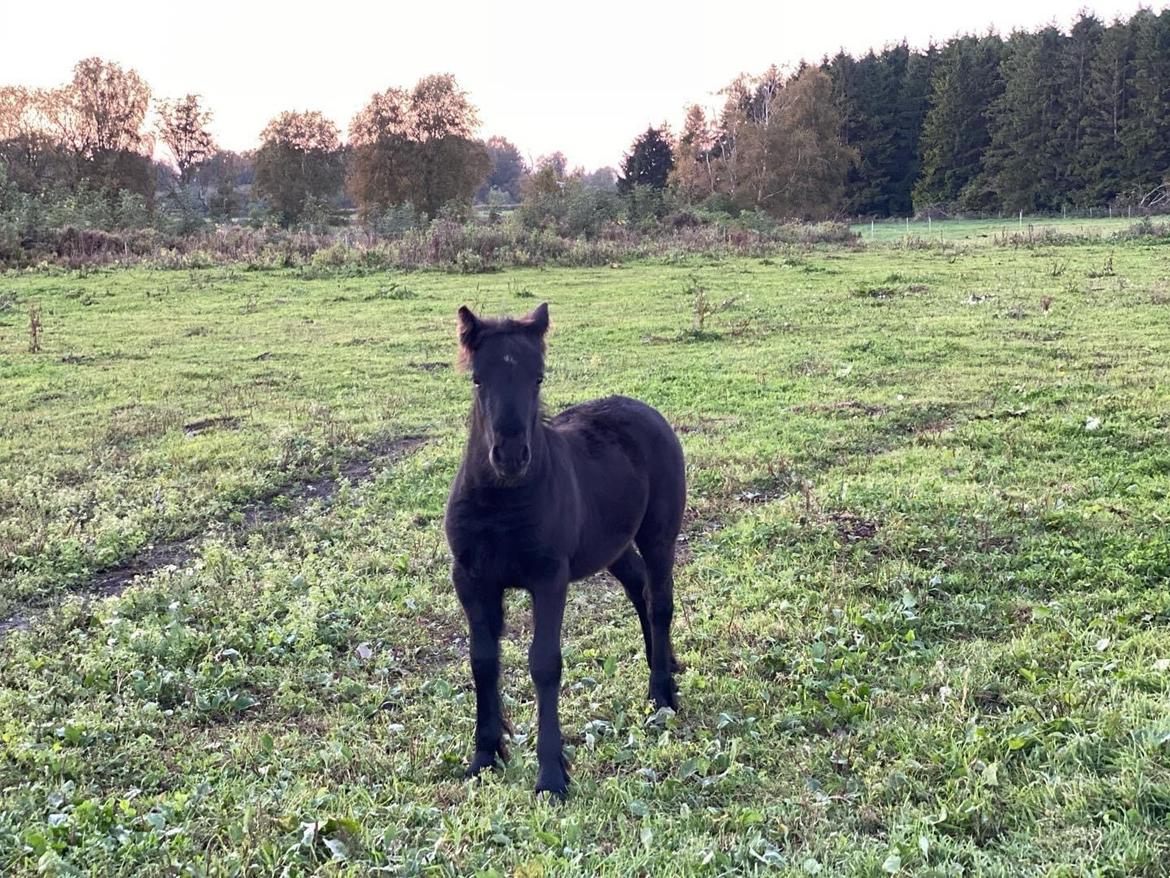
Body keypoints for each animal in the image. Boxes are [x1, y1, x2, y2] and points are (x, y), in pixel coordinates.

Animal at [444, 302, 686, 798]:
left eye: (538, 377)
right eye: (478, 378)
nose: (511, 455)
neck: (501, 504)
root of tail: (645, 410)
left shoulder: (549, 579)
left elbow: (544, 663)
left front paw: (551, 775)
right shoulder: (471, 579)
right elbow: (482, 660)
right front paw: (485, 755)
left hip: (658, 536)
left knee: (660, 602)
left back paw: (661, 693)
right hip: (611, 545)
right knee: (640, 590)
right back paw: (665, 664)